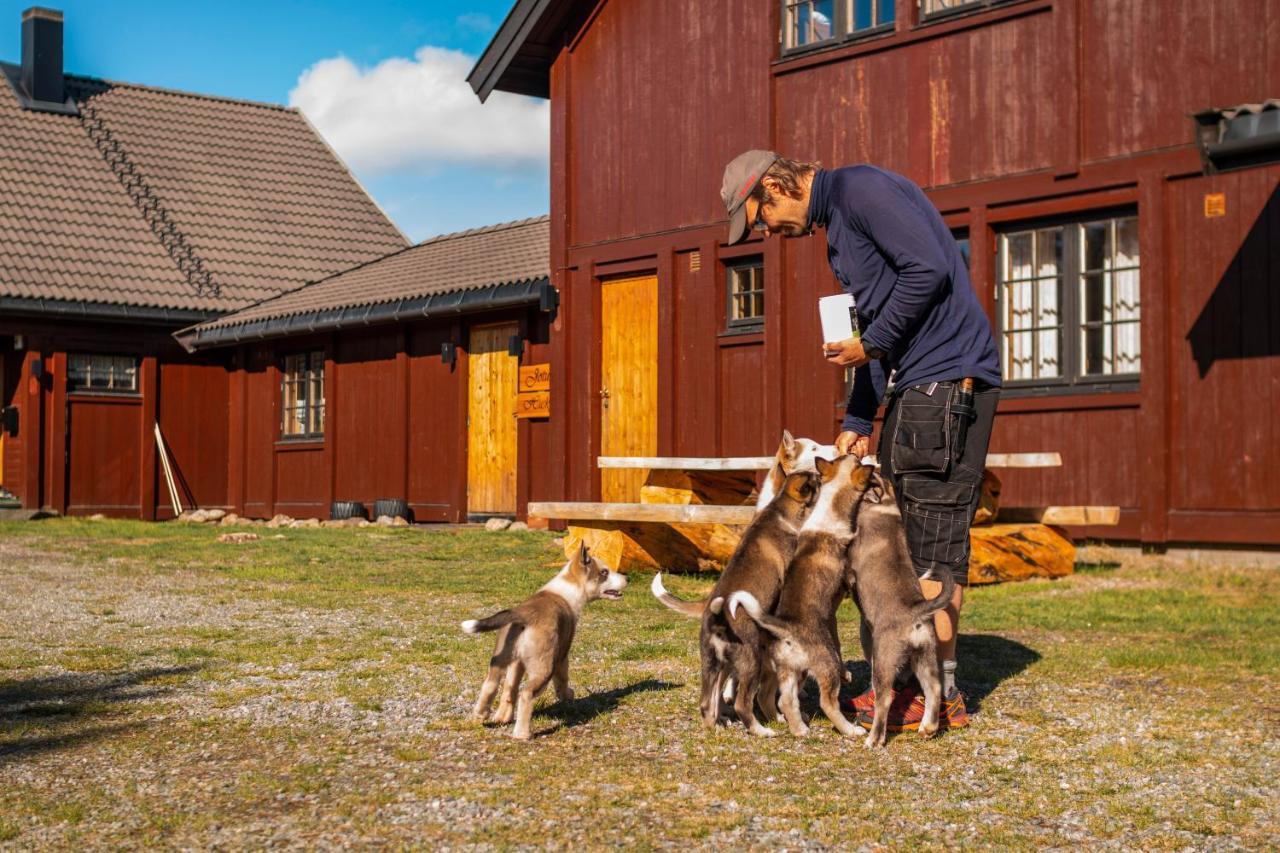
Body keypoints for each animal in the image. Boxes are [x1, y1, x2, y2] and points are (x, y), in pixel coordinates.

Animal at [463, 545, 627, 737]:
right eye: (604, 572)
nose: (628, 578)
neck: (569, 587)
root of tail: (524, 614)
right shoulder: (562, 655)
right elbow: (562, 680)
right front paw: (567, 695)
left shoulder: (517, 663)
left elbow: (510, 689)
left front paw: (502, 717)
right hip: (544, 667)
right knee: (526, 694)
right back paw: (522, 734)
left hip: (500, 659)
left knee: (491, 686)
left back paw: (480, 715)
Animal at [732, 450, 880, 737]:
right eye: (857, 461)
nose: (856, 451)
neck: (830, 504)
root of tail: (787, 628)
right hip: (826, 664)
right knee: (827, 702)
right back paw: (850, 730)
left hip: (789, 671)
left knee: (784, 700)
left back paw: (800, 729)